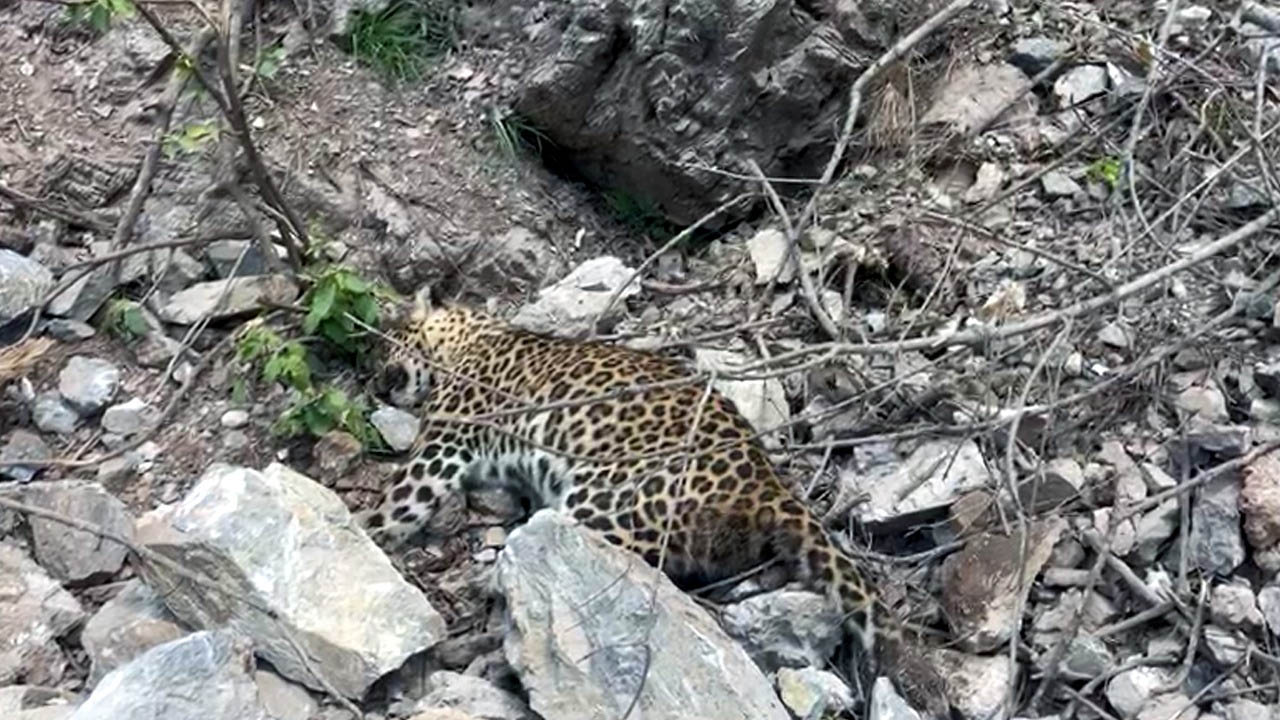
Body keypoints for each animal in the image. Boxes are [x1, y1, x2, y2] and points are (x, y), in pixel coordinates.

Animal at [354, 284, 947, 711]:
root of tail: (767, 484)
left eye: (383, 345)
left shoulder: (440, 450)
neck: (469, 336)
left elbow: (394, 507)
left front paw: (359, 529)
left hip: (596, 506)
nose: (376, 384)